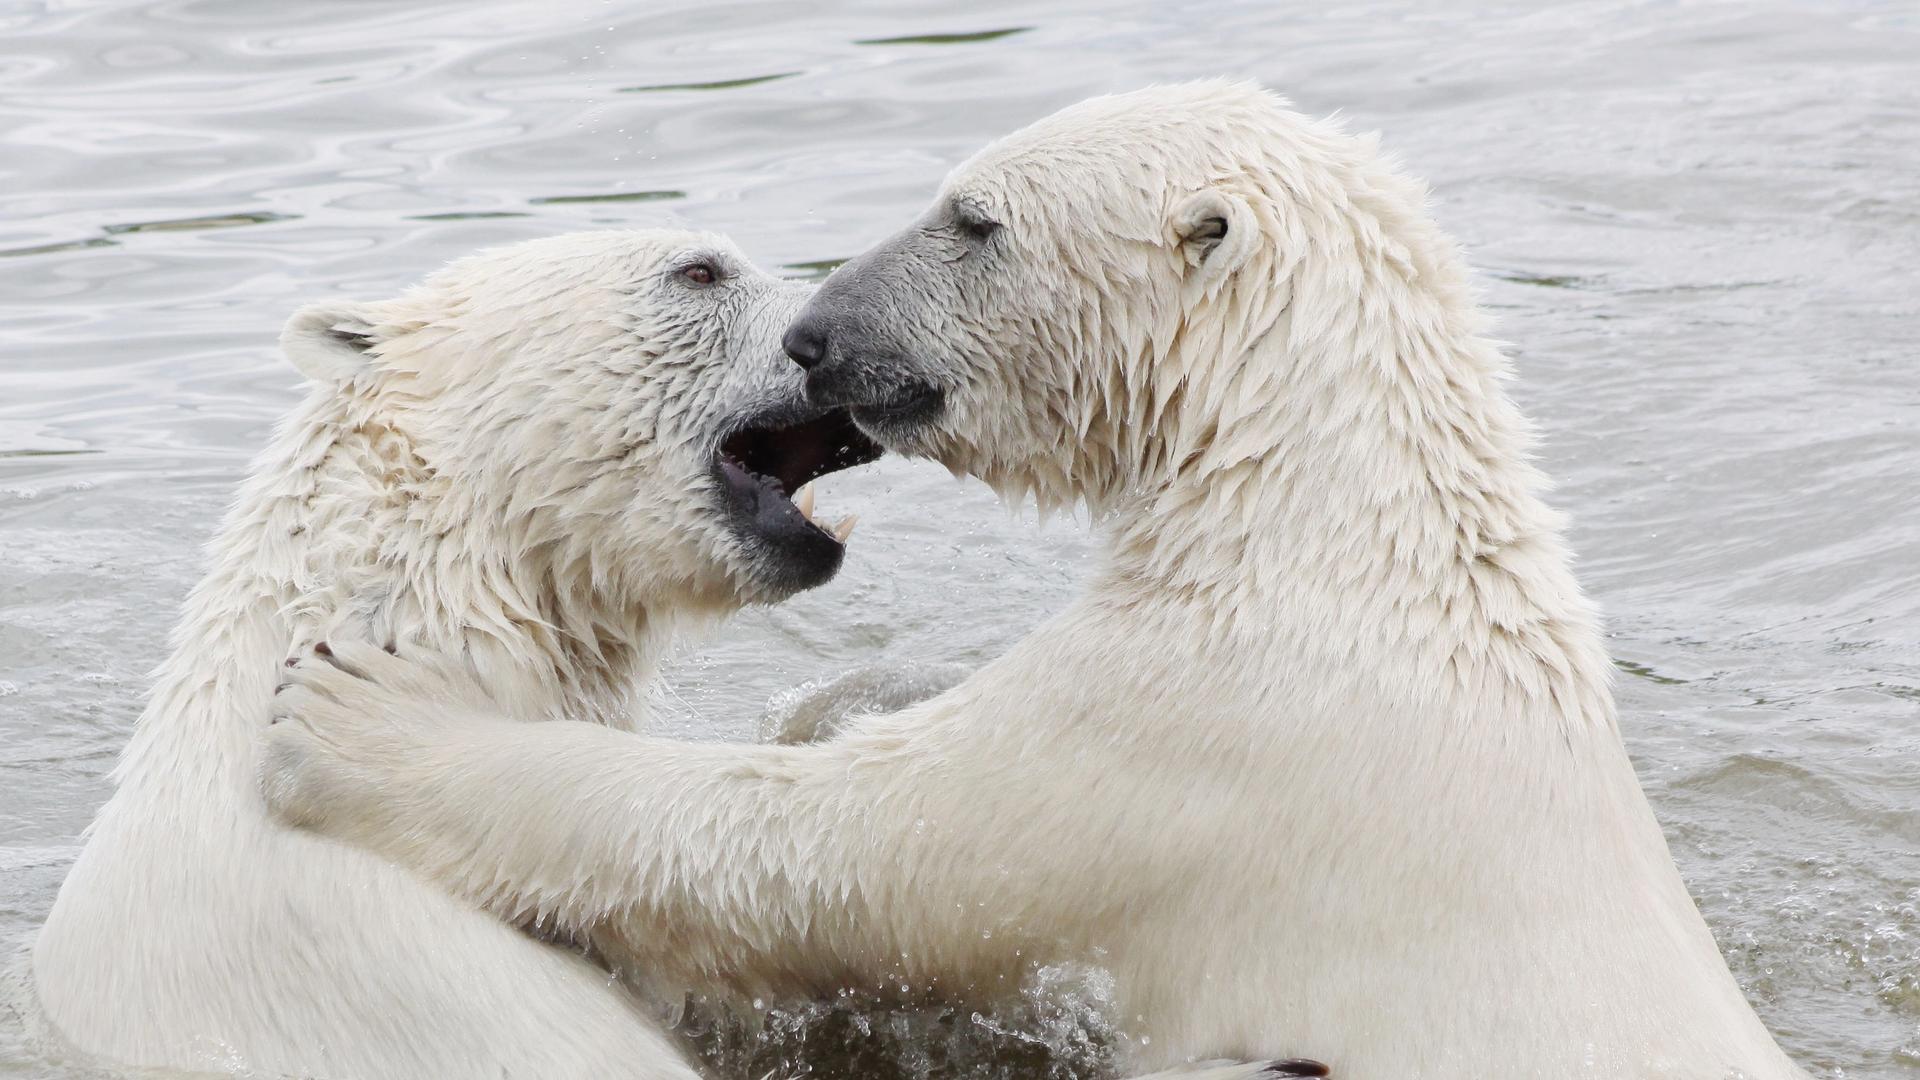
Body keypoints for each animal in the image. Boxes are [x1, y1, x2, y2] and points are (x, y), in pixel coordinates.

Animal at [257, 82, 1808, 1079]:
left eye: (973, 218)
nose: (819, 335)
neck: (1337, 531)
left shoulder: (1191, 745)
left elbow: (817, 851)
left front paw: (357, 721)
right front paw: (839, 696)